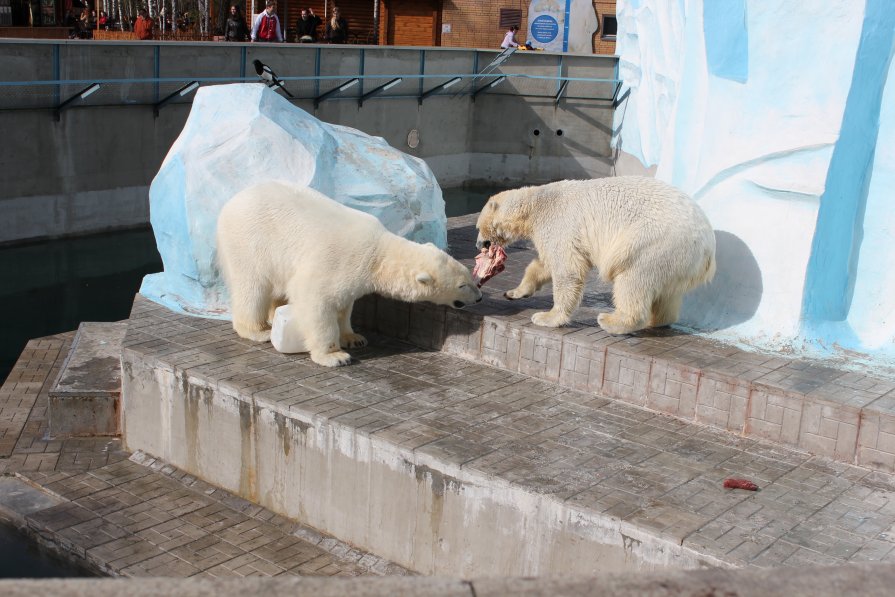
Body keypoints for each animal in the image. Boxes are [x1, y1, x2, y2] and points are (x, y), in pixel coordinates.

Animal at [217, 182, 484, 366]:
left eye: (469, 276)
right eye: (462, 285)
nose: (480, 297)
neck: (378, 253)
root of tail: (230, 203)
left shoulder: (352, 274)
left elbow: (344, 304)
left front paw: (353, 337)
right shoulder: (336, 260)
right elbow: (314, 301)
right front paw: (335, 356)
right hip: (250, 241)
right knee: (252, 287)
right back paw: (258, 330)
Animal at [476, 177, 712, 336]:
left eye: (478, 227)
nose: (479, 244)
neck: (536, 204)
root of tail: (707, 248)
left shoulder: (558, 223)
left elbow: (567, 268)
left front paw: (547, 317)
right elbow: (544, 265)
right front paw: (514, 292)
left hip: (652, 243)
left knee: (633, 278)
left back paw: (612, 320)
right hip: (677, 261)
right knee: (666, 293)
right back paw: (657, 320)